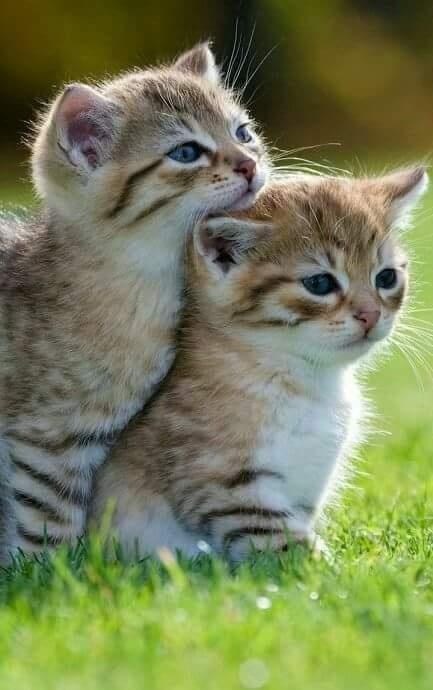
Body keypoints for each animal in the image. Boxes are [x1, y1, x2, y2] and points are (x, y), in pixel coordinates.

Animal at [0, 42, 269, 559]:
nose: (249, 163)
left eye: (243, 132)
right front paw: (51, 571)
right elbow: (48, 521)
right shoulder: (47, 438)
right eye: (186, 152)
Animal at [91, 167, 427, 562]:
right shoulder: (223, 484)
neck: (304, 381)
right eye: (319, 283)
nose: (371, 314)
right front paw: (335, 571)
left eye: (386, 277)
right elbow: (290, 546)